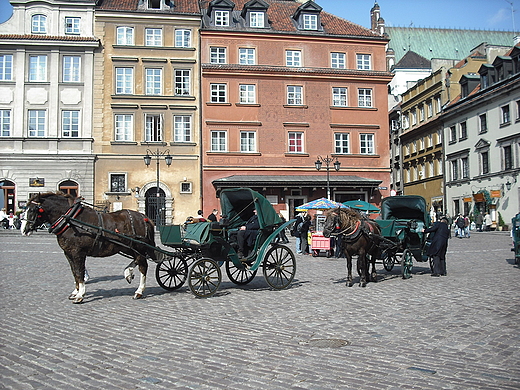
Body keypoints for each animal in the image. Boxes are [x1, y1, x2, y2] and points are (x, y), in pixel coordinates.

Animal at [22, 192, 156, 302]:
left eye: (33, 210)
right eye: (24, 209)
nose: (23, 230)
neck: (71, 220)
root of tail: (145, 217)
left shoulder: (77, 253)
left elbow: (79, 271)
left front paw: (80, 294)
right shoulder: (68, 253)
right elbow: (74, 272)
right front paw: (76, 291)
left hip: (139, 247)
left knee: (143, 266)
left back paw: (139, 291)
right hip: (128, 247)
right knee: (138, 260)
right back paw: (128, 272)